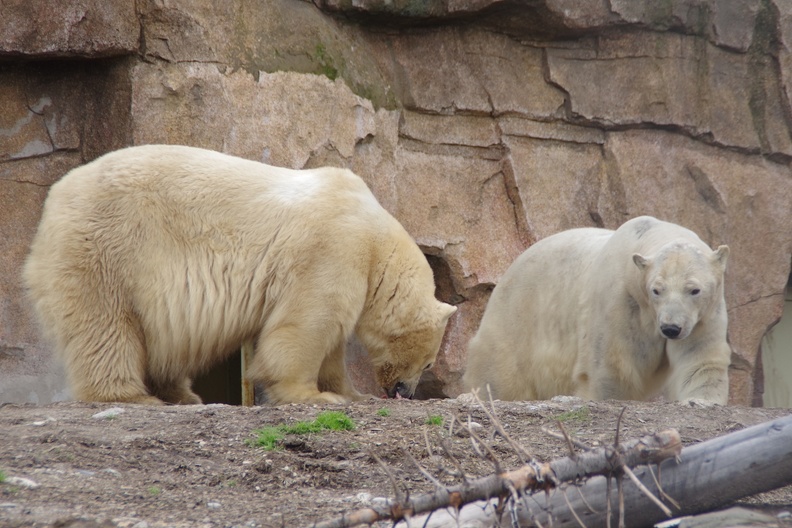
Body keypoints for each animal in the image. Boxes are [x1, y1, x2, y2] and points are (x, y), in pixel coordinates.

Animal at [24, 144, 454, 404]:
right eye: (430, 363)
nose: (405, 392)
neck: (376, 236)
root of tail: (52, 201)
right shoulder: (333, 247)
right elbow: (308, 323)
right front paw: (313, 395)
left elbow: (331, 343)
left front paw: (349, 393)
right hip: (109, 248)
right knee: (105, 325)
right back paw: (130, 395)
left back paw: (182, 394)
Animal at [464, 214, 732, 404]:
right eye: (657, 290)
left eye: (694, 290)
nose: (671, 328)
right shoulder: (621, 302)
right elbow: (613, 365)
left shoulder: (704, 316)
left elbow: (699, 358)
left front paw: (698, 400)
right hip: (517, 317)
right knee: (497, 371)